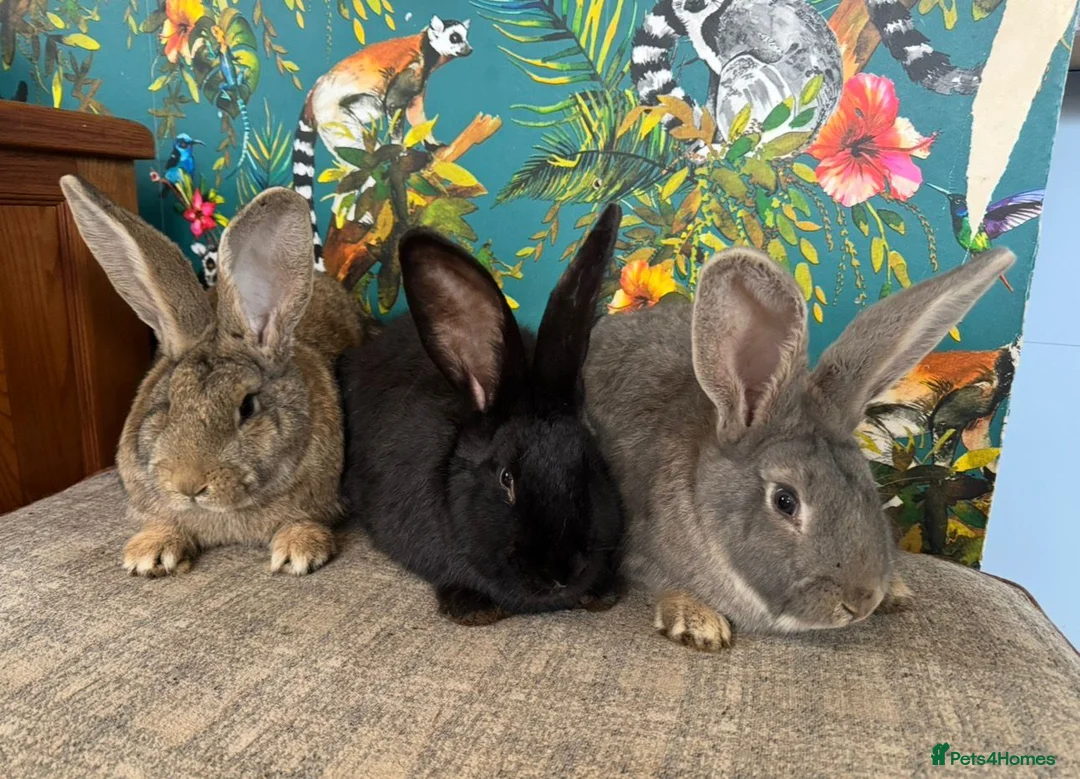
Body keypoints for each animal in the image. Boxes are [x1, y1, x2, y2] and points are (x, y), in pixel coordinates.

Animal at [59, 176, 365, 576]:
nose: (189, 485)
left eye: (248, 407)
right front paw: (148, 554)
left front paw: (298, 552)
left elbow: (303, 520)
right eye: (168, 404)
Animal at [583, 245, 1016, 651]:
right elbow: (664, 584)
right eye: (785, 501)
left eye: (869, 489)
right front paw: (698, 623)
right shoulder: (638, 552)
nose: (860, 603)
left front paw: (895, 591)